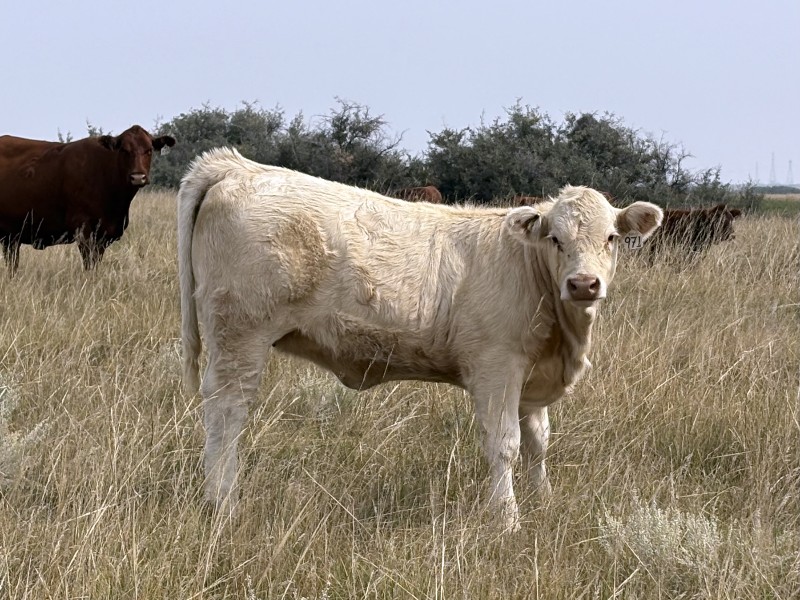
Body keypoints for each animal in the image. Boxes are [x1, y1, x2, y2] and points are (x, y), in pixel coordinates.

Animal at [0, 125, 176, 274]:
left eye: (149, 150)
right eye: (124, 150)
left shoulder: (103, 236)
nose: (138, 177)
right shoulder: (83, 229)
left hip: (11, 236)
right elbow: (89, 265)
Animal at [177, 148, 663, 530]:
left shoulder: (532, 375)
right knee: (226, 412)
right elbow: (504, 444)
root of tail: (238, 166)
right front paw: (507, 520)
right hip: (240, 334)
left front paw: (543, 501)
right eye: (555, 239)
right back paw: (222, 503)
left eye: (612, 237)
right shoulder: (496, 367)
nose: (583, 284)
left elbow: (538, 442)